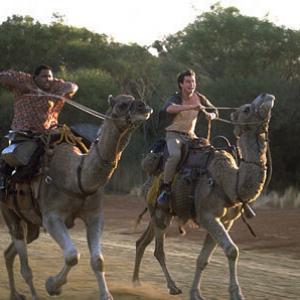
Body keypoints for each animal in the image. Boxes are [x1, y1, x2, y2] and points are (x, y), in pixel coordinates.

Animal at [0, 94, 152, 300]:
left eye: (135, 99)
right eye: (121, 104)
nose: (144, 107)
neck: (76, 176)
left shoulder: (94, 216)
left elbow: (98, 260)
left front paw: (106, 295)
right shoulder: (52, 217)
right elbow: (73, 255)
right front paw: (52, 285)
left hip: (31, 223)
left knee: (10, 252)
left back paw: (15, 293)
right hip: (9, 211)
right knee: (24, 264)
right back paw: (32, 294)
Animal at [132, 93, 276, 300]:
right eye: (247, 109)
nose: (267, 96)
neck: (230, 183)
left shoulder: (225, 221)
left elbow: (203, 259)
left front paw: (196, 293)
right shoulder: (207, 215)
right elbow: (232, 250)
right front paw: (237, 294)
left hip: (160, 213)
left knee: (142, 242)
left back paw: (136, 282)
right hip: (159, 212)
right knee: (159, 250)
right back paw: (172, 287)